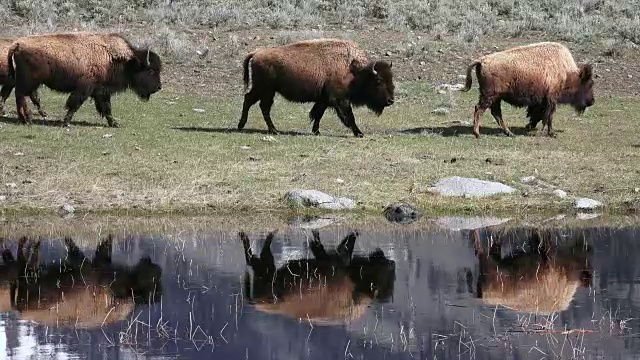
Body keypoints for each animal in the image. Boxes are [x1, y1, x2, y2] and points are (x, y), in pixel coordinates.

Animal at [7, 31, 162, 126]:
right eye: (151, 71)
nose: (159, 87)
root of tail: (17, 44)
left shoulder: (101, 91)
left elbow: (106, 108)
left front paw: (114, 123)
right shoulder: (86, 88)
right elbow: (75, 104)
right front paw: (66, 122)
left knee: (20, 96)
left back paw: (24, 119)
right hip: (29, 81)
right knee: (21, 96)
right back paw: (27, 119)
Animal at [238, 38, 392, 136]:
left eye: (390, 78)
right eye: (379, 81)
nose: (391, 100)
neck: (353, 69)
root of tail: (256, 53)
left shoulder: (324, 99)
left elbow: (318, 114)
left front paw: (316, 131)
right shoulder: (340, 100)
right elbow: (349, 116)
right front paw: (359, 133)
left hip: (264, 90)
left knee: (253, 102)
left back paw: (250, 127)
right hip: (266, 90)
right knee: (259, 105)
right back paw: (267, 129)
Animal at [241, 231, 396, 326]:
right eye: (386, 277)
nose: (391, 263)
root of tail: (257, 303)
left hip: (266, 270)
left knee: (254, 258)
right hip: (266, 269)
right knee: (255, 256)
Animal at [460, 41, 596, 138]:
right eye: (589, 84)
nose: (592, 101)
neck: (566, 72)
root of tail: (481, 61)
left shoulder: (544, 101)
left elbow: (541, 115)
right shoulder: (552, 99)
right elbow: (548, 116)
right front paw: (550, 133)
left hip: (495, 98)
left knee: (496, 113)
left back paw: (509, 133)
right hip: (490, 96)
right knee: (480, 109)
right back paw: (477, 134)